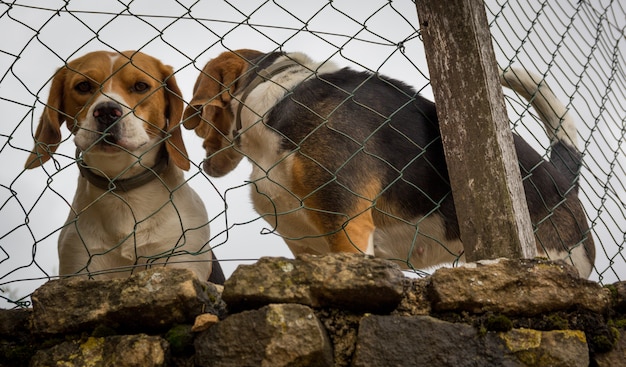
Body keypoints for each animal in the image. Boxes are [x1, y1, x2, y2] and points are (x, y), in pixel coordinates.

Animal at [25, 50, 224, 284]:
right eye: (83, 86)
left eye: (140, 86)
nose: (106, 112)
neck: (122, 190)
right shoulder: (80, 266)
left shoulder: (182, 260)